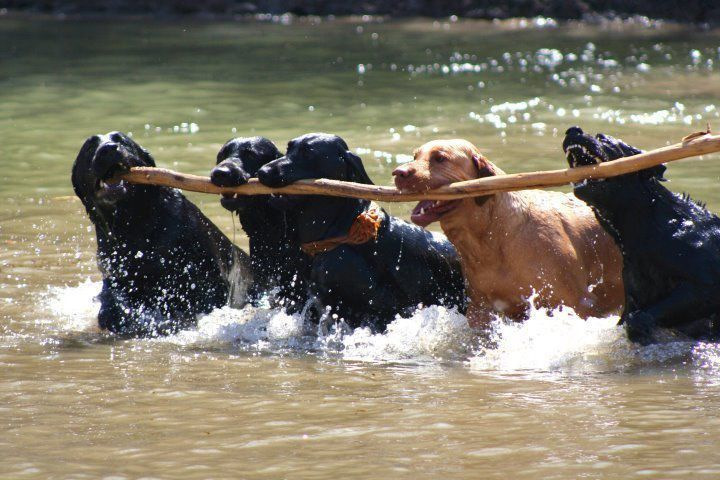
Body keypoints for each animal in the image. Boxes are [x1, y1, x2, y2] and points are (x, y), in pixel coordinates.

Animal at [390, 139, 620, 326]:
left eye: (440, 158)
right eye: (415, 156)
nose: (398, 173)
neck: (492, 237)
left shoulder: (578, 305)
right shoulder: (482, 310)